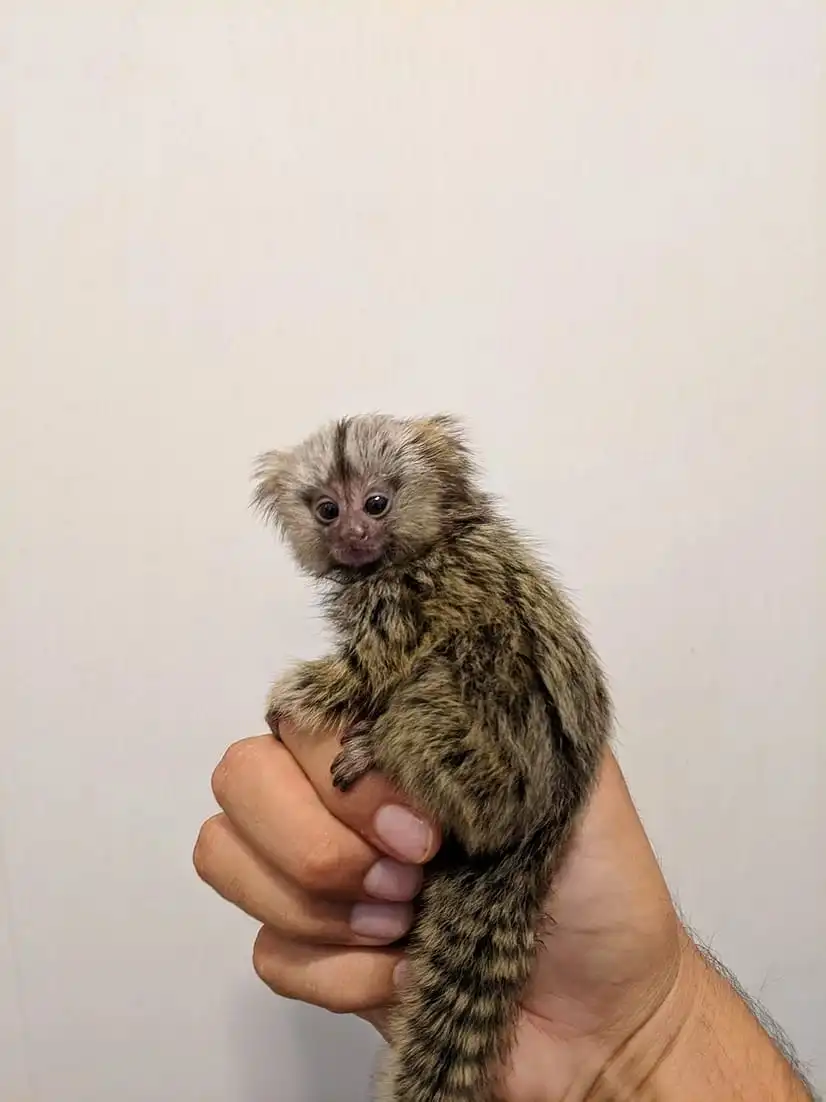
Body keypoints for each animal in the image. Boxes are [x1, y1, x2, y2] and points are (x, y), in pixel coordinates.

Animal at [252, 413, 613, 1102]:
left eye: (376, 503)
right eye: (328, 509)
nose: (354, 534)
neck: (431, 544)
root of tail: (546, 821)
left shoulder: (400, 598)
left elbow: (369, 671)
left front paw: (291, 700)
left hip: (479, 759)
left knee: (429, 691)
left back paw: (381, 749)